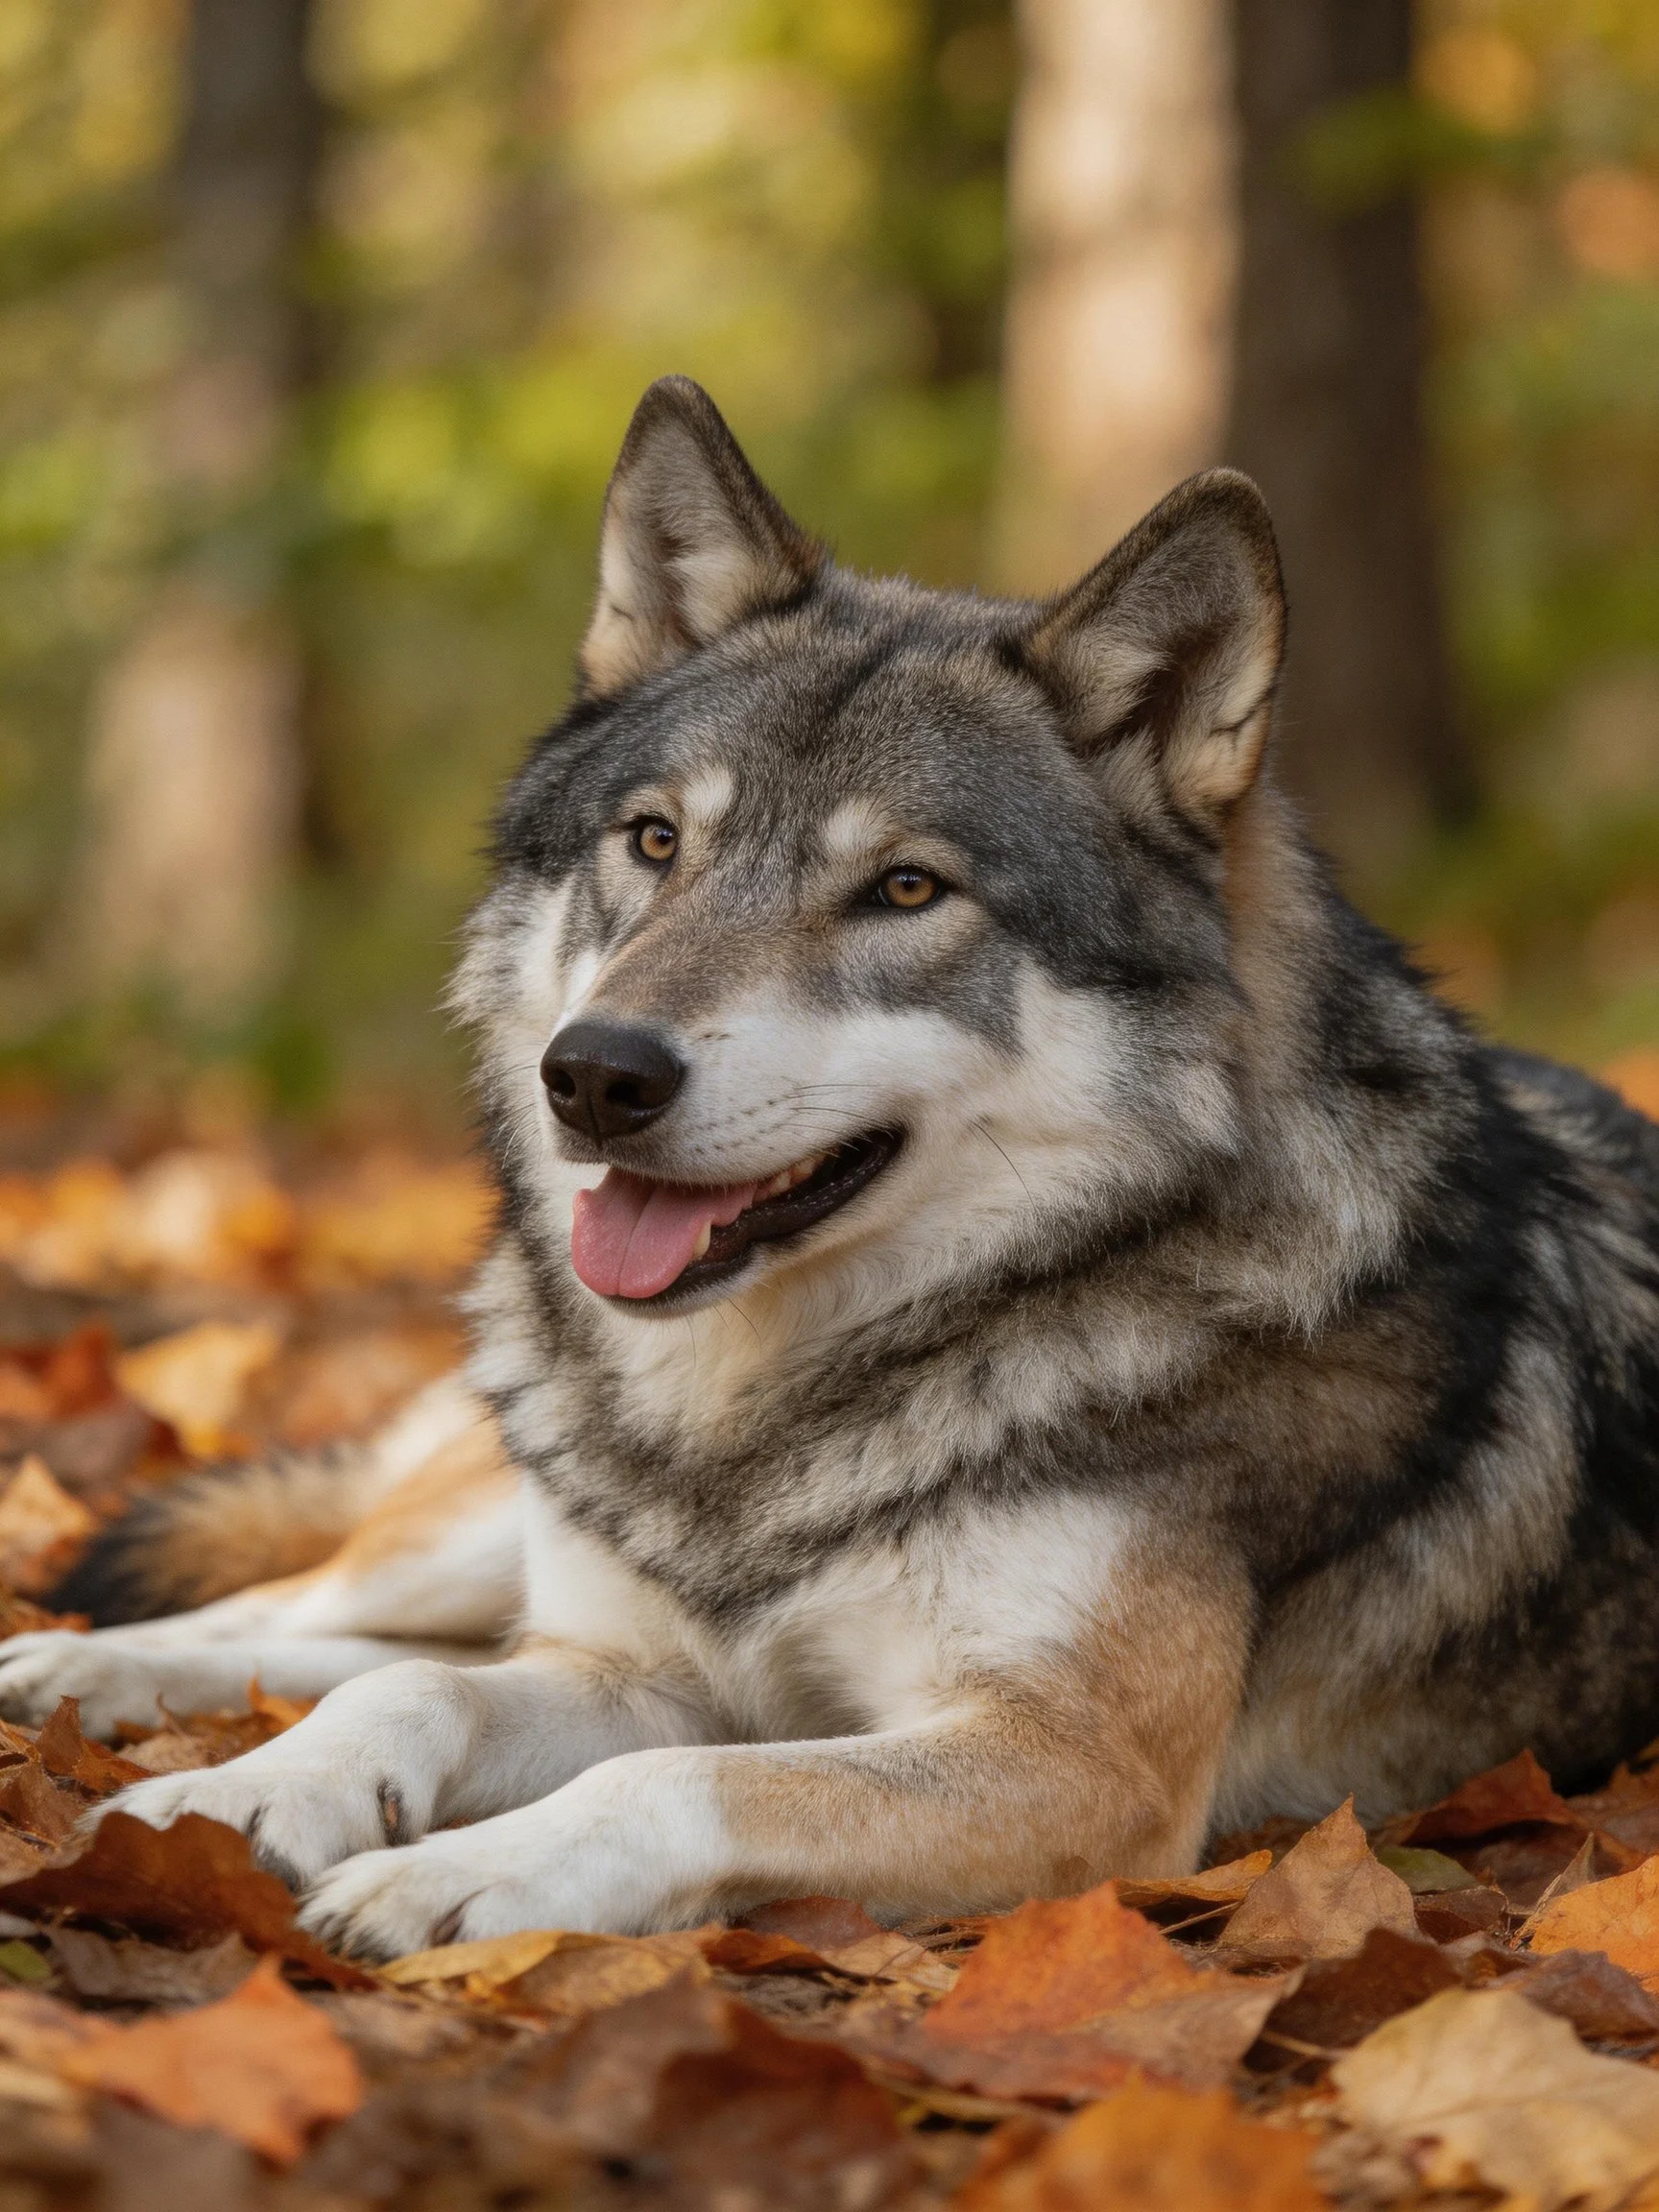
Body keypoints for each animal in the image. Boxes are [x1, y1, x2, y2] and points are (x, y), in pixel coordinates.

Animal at [4, 375, 1658, 1959]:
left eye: (906, 889)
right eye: (654, 842)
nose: (594, 1076)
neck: (770, 1425)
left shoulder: (1068, 1767)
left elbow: (660, 1776)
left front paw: (454, 1875)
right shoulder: (645, 1659)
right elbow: (415, 1697)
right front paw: (234, 1799)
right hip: (490, 1517)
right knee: (318, 1612)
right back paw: (72, 1670)